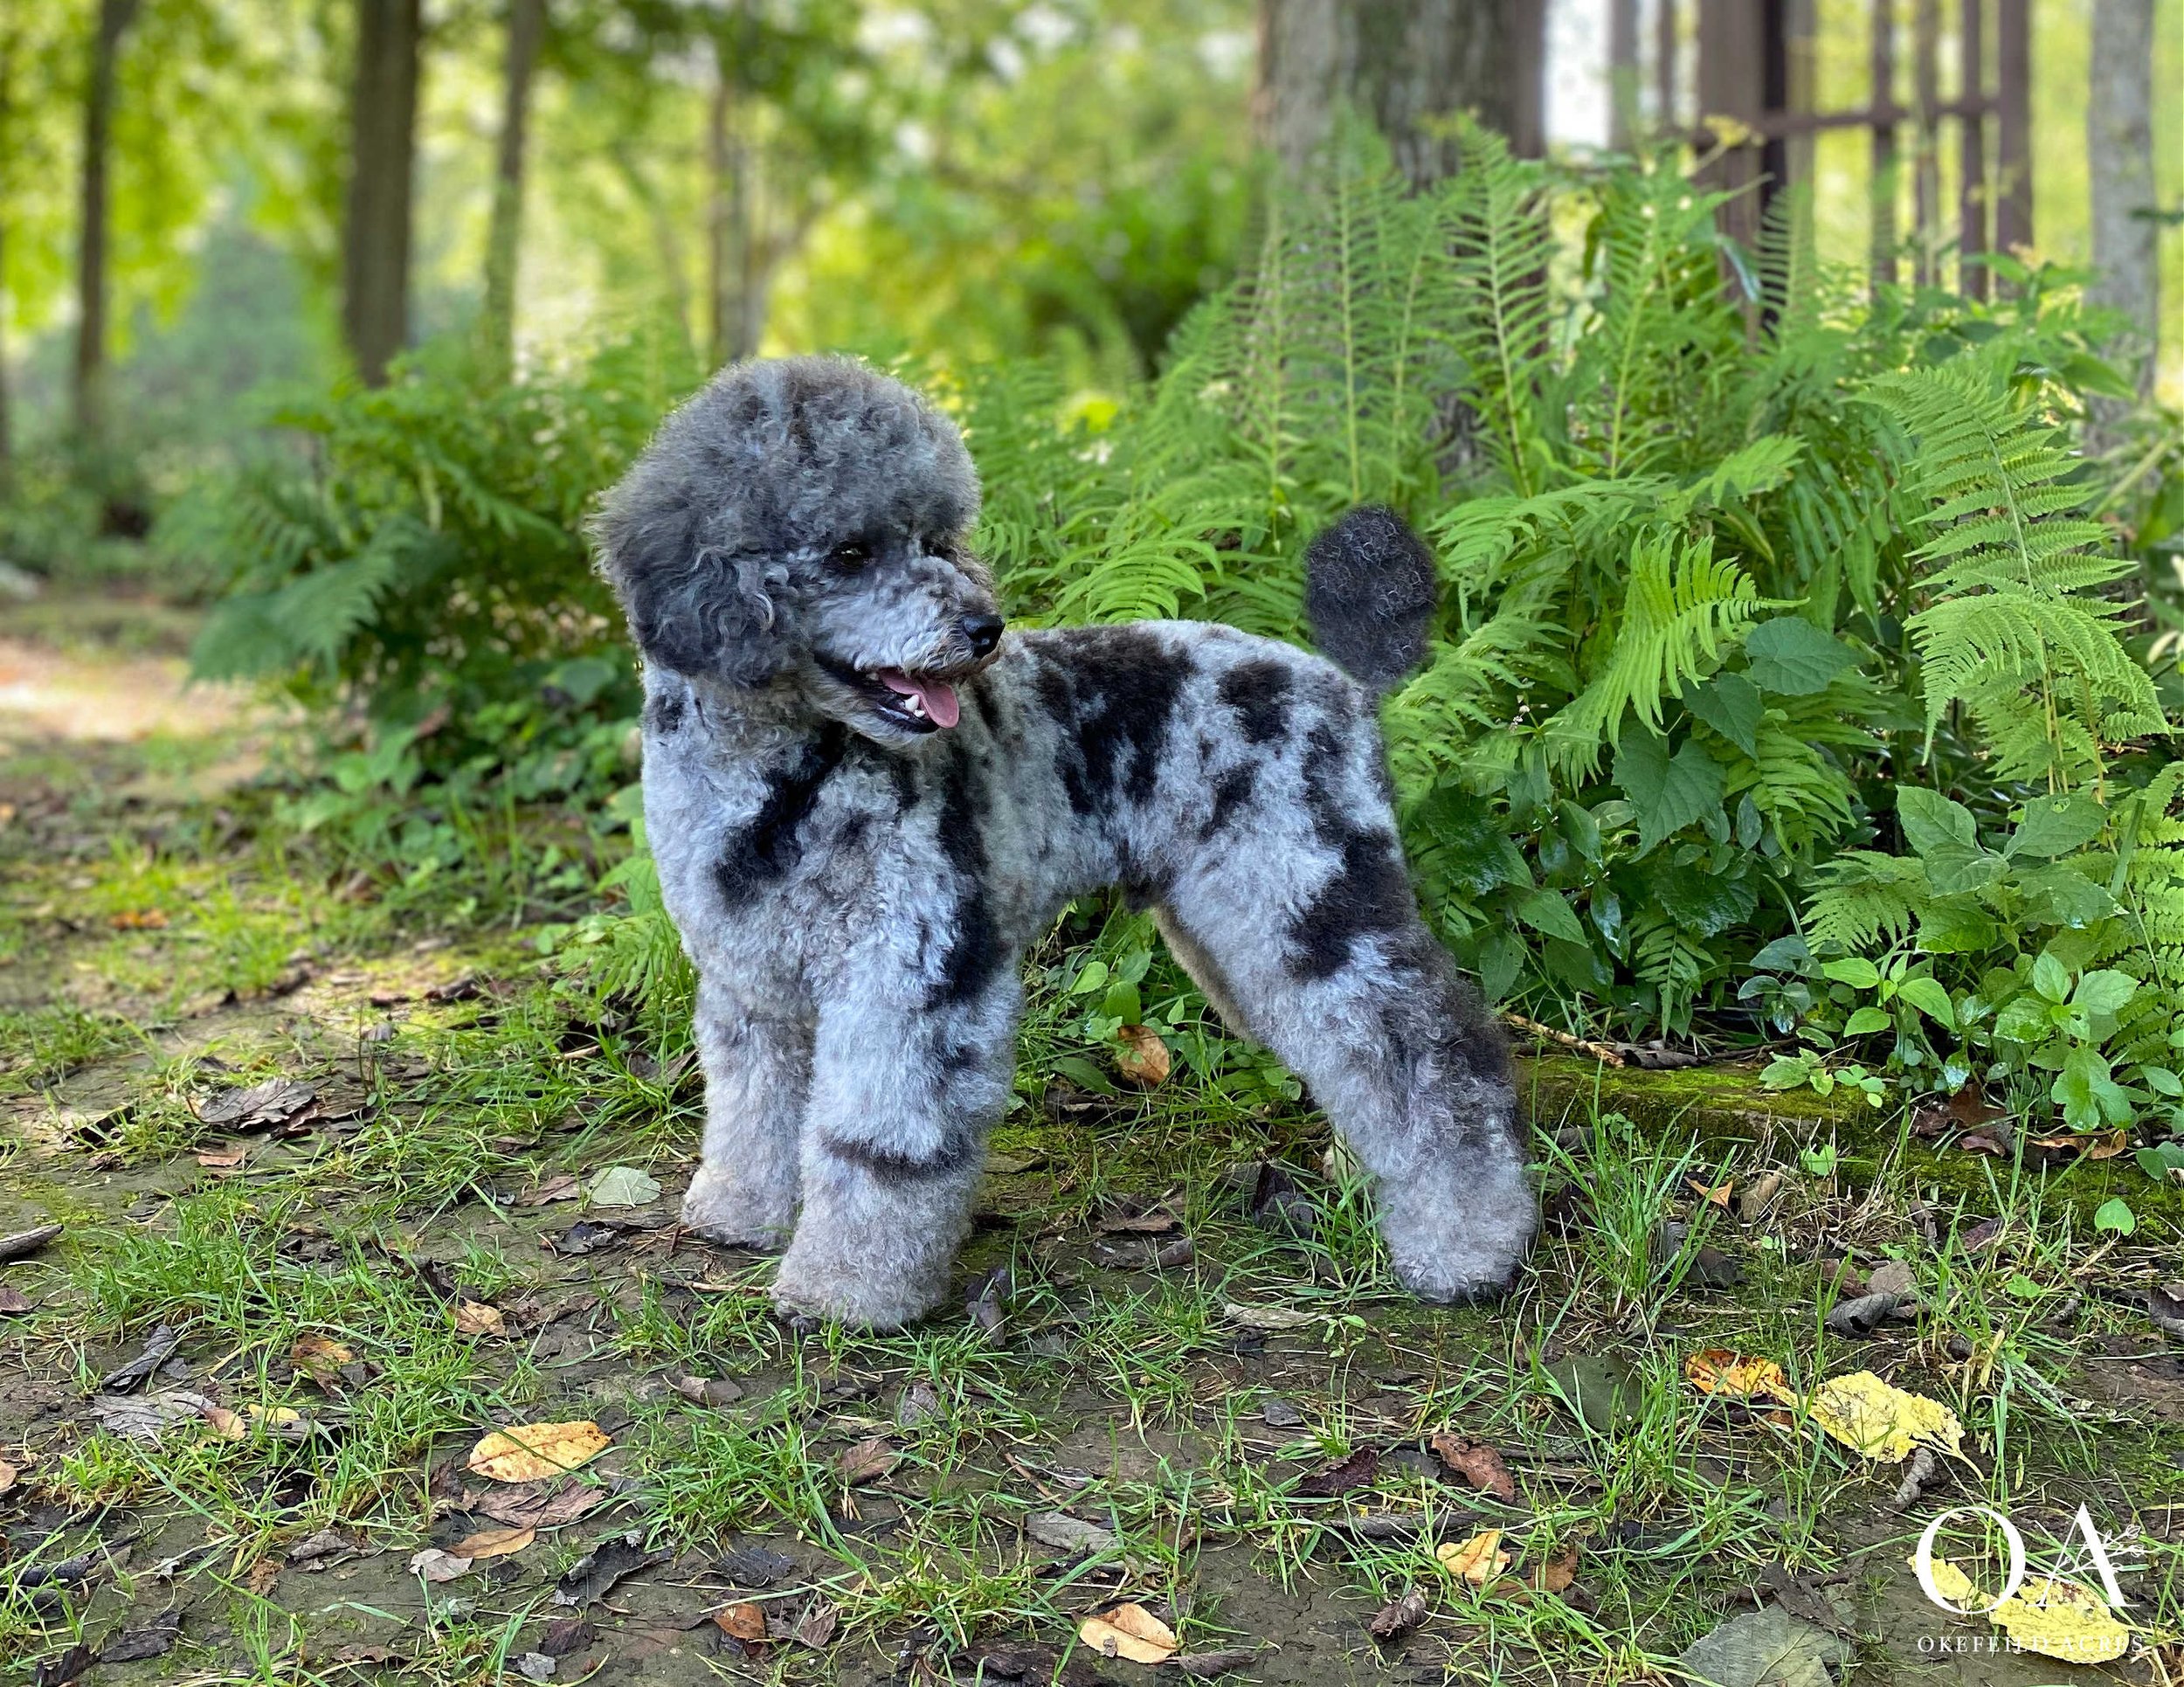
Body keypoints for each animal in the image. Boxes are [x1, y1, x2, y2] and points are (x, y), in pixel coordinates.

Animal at [590, 356, 1529, 1328]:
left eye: (935, 538)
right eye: (850, 552)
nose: (983, 629)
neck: (782, 786)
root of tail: (1342, 678)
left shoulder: (913, 975)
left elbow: (881, 1146)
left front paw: (848, 1288)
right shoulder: (751, 986)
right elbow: (750, 1111)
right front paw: (740, 1210)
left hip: (1310, 904)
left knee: (1437, 1061)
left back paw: (1468, 1244)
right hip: (1234, 934)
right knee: (1362, 1055)